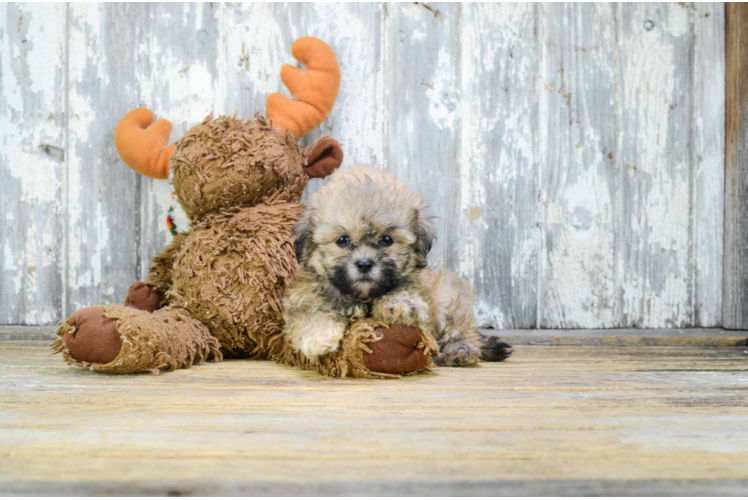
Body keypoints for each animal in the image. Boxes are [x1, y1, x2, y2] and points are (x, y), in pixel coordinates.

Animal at [284, 166, 512, 366]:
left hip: (449, 298)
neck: (363, 296)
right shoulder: (302, 299)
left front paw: (399, 304)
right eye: (342, 240)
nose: (364, 264)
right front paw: (319, 337)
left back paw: (459, 351)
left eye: (386, 239)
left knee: (462, 331)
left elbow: (407, 298)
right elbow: (310, 314)